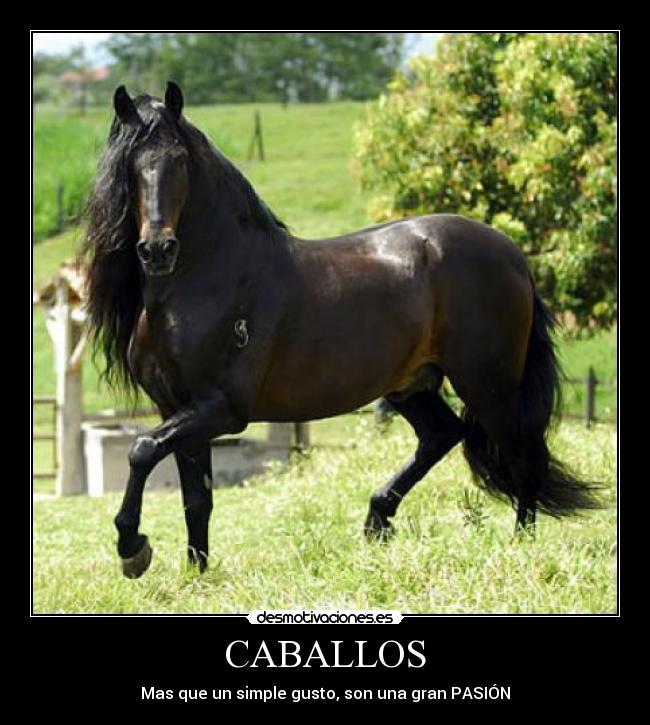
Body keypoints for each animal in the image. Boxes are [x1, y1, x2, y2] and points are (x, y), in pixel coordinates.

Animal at [84, 82, 600, 579]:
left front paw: (133, 549)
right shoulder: (177, 407)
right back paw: (377, 519)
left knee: (520, 455)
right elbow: (197, 499)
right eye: (131, 166)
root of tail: (511, 253)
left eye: (180, 161)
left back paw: (520, 548)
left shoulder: (221, 408)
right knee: (442, 435)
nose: (157, 250)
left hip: (488, 384)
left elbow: (142, 450)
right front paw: (195, 574)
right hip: (409, 385)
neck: (209, 278)